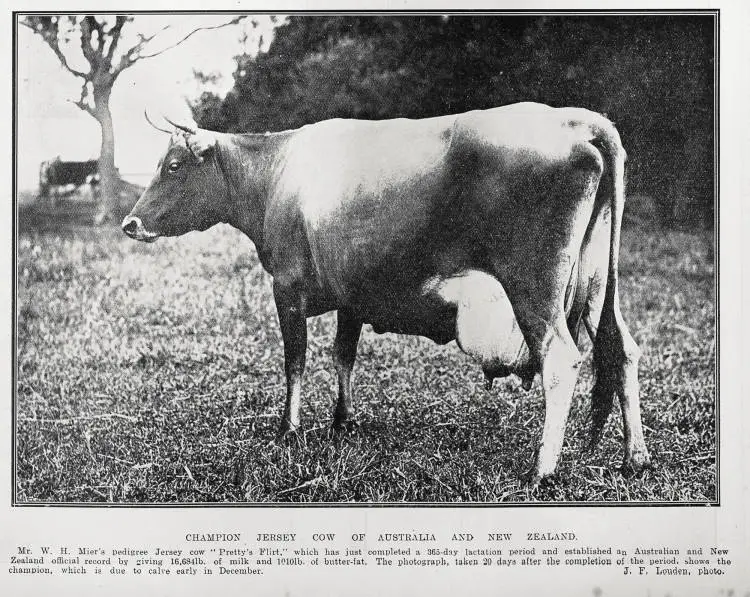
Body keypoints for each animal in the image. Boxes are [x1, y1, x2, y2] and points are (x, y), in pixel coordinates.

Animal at [123, 103, 652, 484]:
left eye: (174, 166)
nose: (130, 223)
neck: (276, 174)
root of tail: (578, 120)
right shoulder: (352, 294)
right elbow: (343, 355)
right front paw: (343, 421)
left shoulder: (286, 286)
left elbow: (296, 361)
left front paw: (289, 431)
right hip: (597, 286)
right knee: (622, 348)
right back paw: (636, 457)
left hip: (534, 287)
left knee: (560, 359)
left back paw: (542, 470)